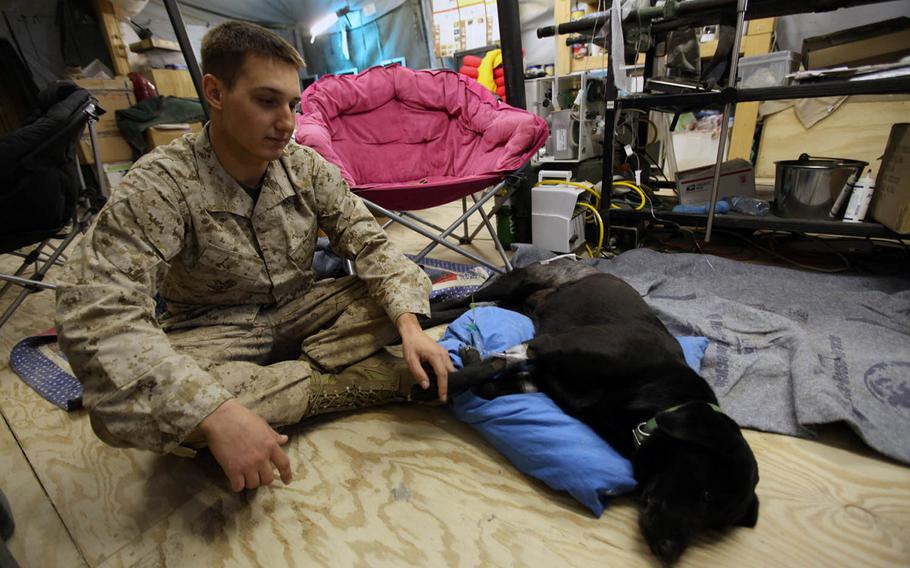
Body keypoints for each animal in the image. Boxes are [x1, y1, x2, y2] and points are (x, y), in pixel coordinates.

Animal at [420, 262, 764, 564]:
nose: (669, 554)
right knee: (464, 299)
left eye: (713, 524)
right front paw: (436, 383)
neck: (658, 394)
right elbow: (494, 363)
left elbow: (489, 381)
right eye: (706, 495)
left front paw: (467, 360)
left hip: (514, 304)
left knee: (473, 305)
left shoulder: (537, 377)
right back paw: (422, 317)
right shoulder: (546, 345)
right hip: (515, 283)